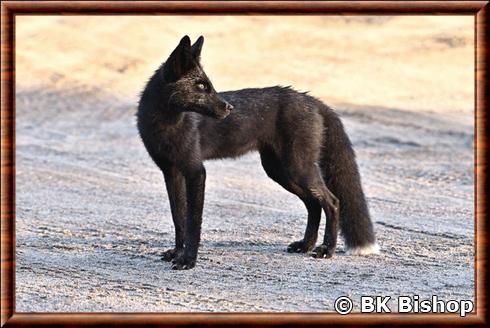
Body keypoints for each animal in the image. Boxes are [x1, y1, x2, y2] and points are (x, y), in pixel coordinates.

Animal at [138, 35, 378, 270]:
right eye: (200, 86)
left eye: (209, 85)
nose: (229, 108)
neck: (167, 127)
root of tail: (311, 99)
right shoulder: (171, 172)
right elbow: (179, 218)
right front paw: (177, 253)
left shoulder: (196, 171)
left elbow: (193, 222)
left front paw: (188, 260)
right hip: (280, 172)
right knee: (313, 205)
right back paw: (305, 246)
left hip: (298, 169)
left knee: (332, 202)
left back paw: (327, 250)